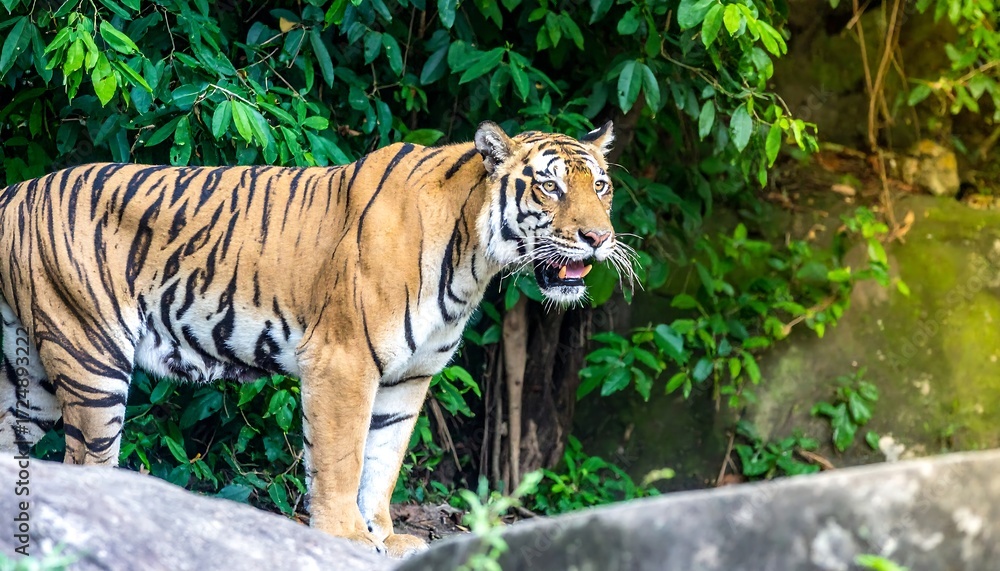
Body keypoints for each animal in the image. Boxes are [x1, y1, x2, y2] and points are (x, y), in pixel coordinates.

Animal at [0, 120, 627, 557]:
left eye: (600, 186)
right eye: (549, 187)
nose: (599, 238)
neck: (473, 256)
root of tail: (16, 190)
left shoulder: (408, 378)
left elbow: (383, 461)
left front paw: (384, 536)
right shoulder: (344, 362)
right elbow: (342, 458)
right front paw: (345, 537)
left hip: (29, 379)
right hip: (90, 356)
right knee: (85, 463)